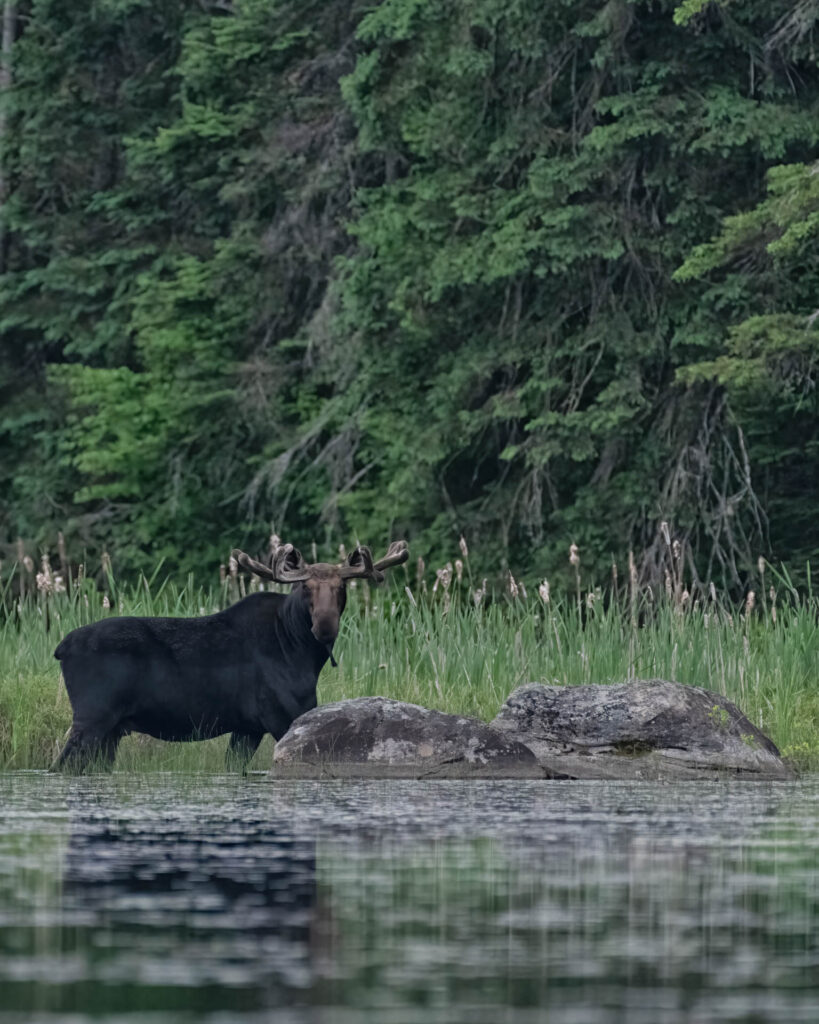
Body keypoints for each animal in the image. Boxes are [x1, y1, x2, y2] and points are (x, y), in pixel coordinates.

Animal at [52, 540, 408, 772]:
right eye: (305, 588)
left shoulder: (247, 728)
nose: (324, 625)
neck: (299, 650)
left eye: (341, 588)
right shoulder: (281, 716)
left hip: (111, 729)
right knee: (60, 765)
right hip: (92, 718)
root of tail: (60, 648)